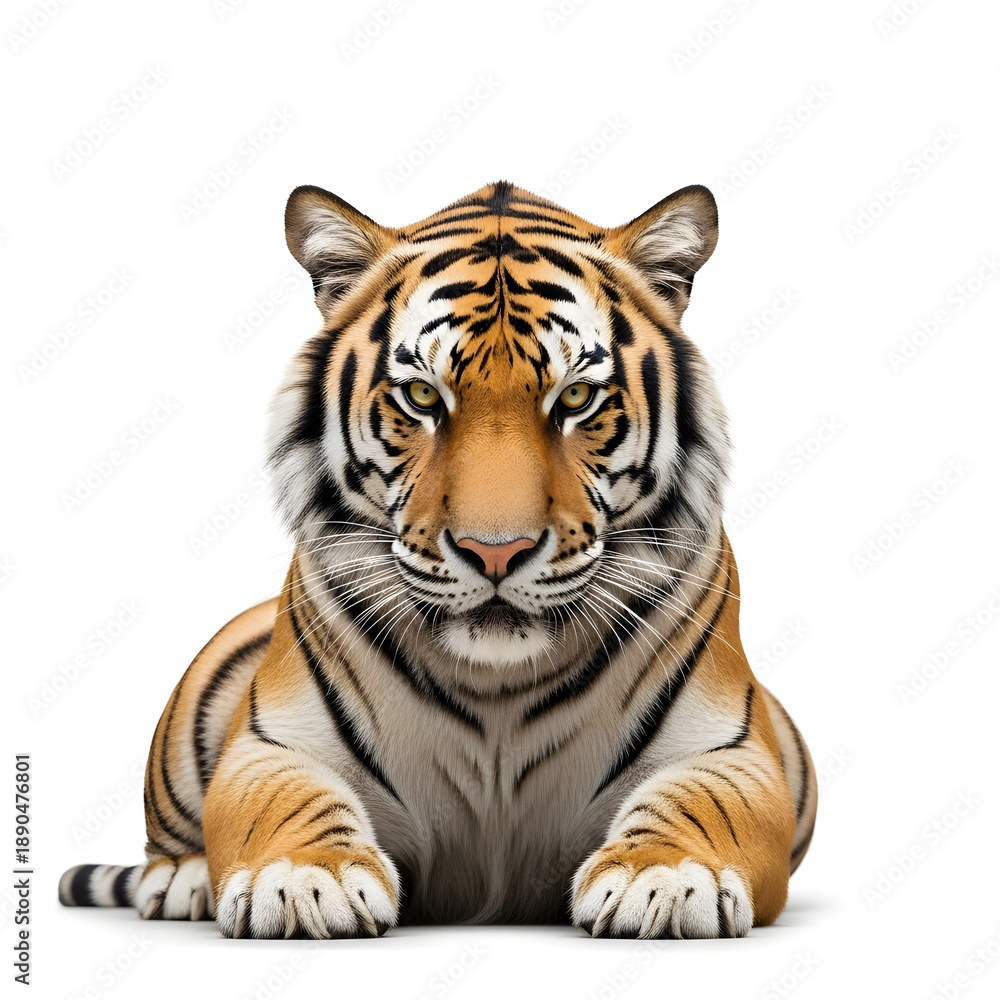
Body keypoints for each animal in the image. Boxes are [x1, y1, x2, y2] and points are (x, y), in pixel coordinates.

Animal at [59, 180, 817, 939]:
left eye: (576, 396)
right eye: (423, 396)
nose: (496, 551)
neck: (498, 690)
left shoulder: (734, 751)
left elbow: (701, 802)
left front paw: (663, 878)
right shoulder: (272, 744)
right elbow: (283, 800)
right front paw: (305, 881)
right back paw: (181, 882)